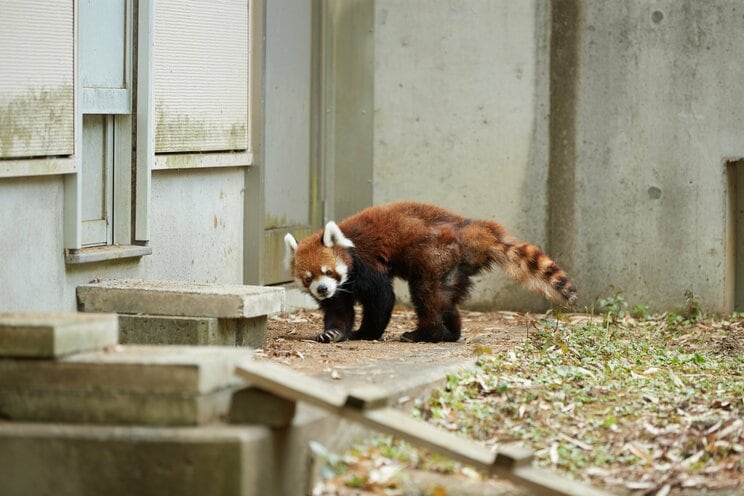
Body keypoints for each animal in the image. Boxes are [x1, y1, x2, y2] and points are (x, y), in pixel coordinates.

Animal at [284, 200, 576, 342]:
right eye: (309, 278)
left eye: (328, 271)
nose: (322, 289)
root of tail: (466, 228)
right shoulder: (341, 289)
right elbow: (338, 310)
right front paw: (332, 333)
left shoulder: (365, 265)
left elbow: (381, 300)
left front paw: (366, 333)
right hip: (453, 268)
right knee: (446, 300)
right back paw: (451, 333)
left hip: (435, 256)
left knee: (428, 296)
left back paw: (426, 334)